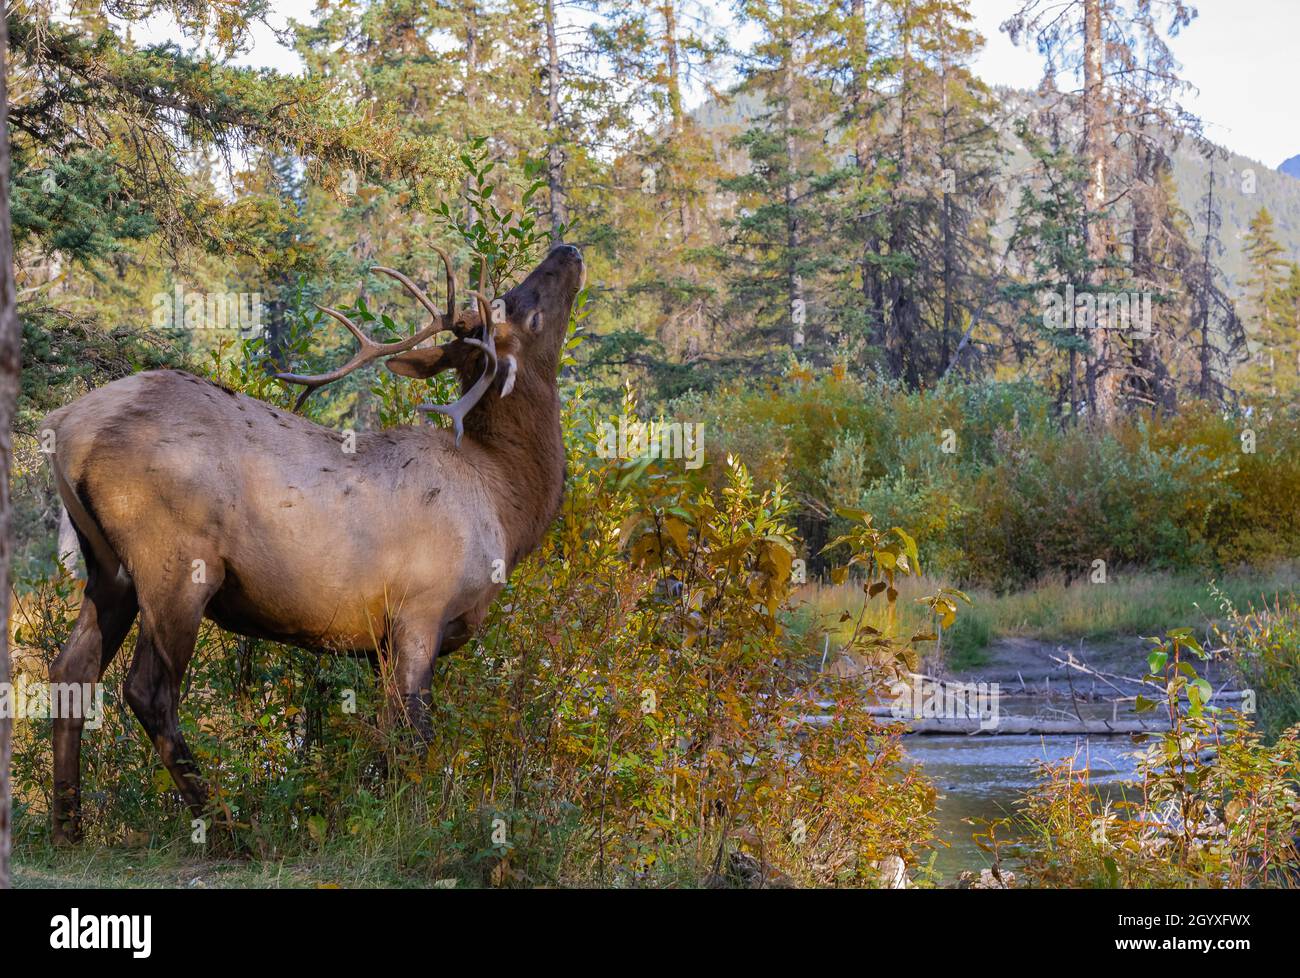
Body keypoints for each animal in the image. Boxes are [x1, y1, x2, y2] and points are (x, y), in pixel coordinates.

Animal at [42, 243, 585, 843]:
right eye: (523, 308)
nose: (567, 250)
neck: (506, 502)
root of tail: (66, 426)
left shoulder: (379, 640)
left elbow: (385, 735)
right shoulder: (421, 607)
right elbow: (413, 734)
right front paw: (407, 826)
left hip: (108, 570)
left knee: (70, 672)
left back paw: (68, 829)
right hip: (176, 561)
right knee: (147, 688)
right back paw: (230, 829)